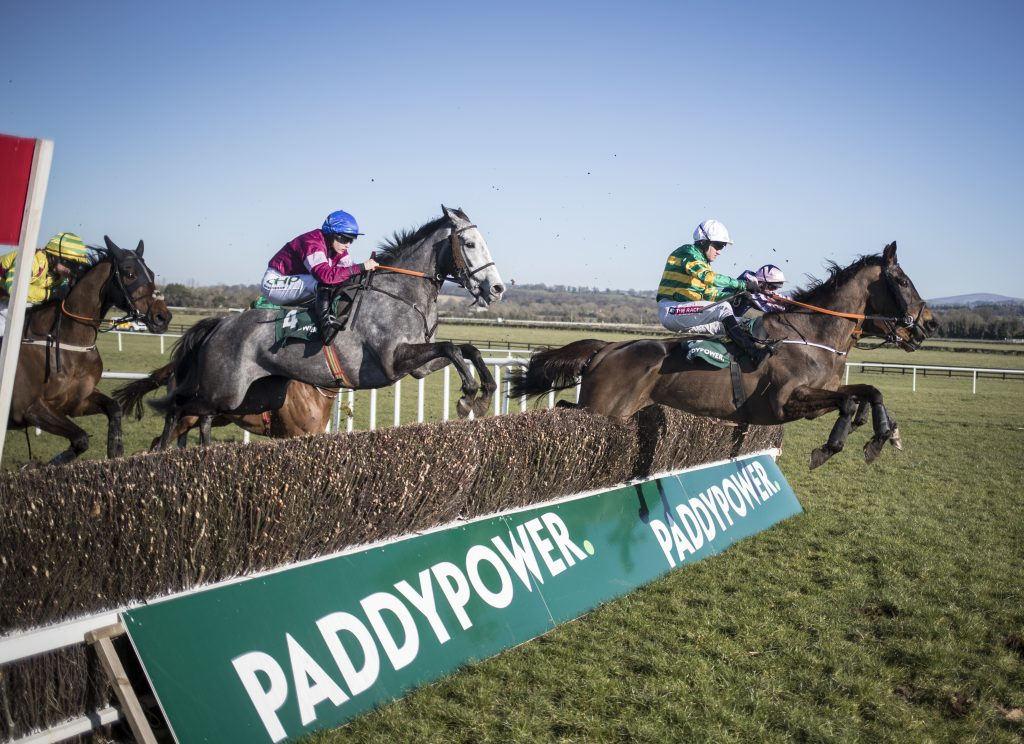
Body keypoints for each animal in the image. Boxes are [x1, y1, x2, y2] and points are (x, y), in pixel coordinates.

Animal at [4, 237, 168, 466]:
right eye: (130, 274)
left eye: (151, 274)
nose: (164, 317)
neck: (69, 341)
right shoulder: (28, 408)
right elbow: (81, 438)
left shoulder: (76, 403)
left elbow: (114, 408)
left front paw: (115, 448)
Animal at [150, 206, 503, 446]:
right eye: (470, 244)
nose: (497, 288)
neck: (402, 293)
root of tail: (219, 326)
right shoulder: (393, 361)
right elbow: (451, 347)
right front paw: (469, 395)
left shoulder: (417, 366)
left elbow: (465, 349)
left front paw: (484, 393)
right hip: (223, 391)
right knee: (176, 407)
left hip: (252, 398)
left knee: (197, 416)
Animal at [509, 241, 937, 468]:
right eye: (902, 281)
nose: (929, 324)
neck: (811, 337)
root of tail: (608, 348)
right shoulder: (786, 401)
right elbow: (850, 401)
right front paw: (832, 446)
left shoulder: (820, 396)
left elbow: (868, 393)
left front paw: (885, 433)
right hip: (603, 406)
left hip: (612, 408)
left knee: (565, 407)